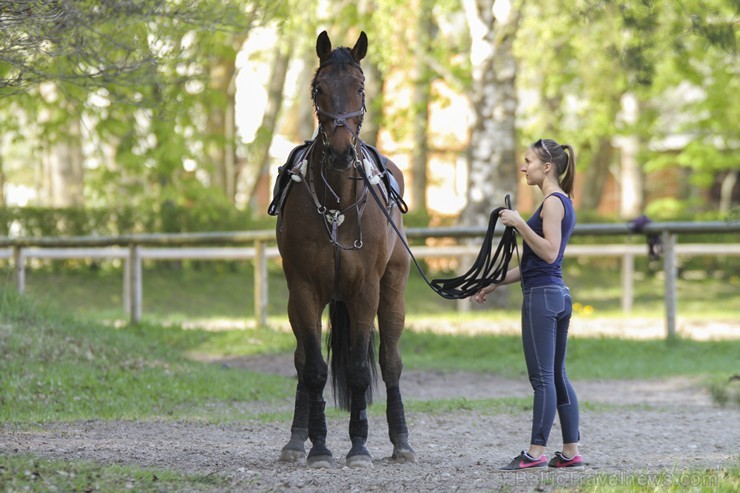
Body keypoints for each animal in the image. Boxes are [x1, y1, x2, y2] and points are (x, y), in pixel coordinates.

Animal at [274, 28, 416, 468]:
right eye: (318, 88)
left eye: (360, 87)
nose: (339, 152)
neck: (337, 205)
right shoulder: (303, 290)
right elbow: (314, 369)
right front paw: (318, 446)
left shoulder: (364, 291)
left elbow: (358, 370)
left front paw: (359, 446)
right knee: (303, 361)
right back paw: (296, 439)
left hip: (393, 290)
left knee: (390, 362)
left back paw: (401, 441)